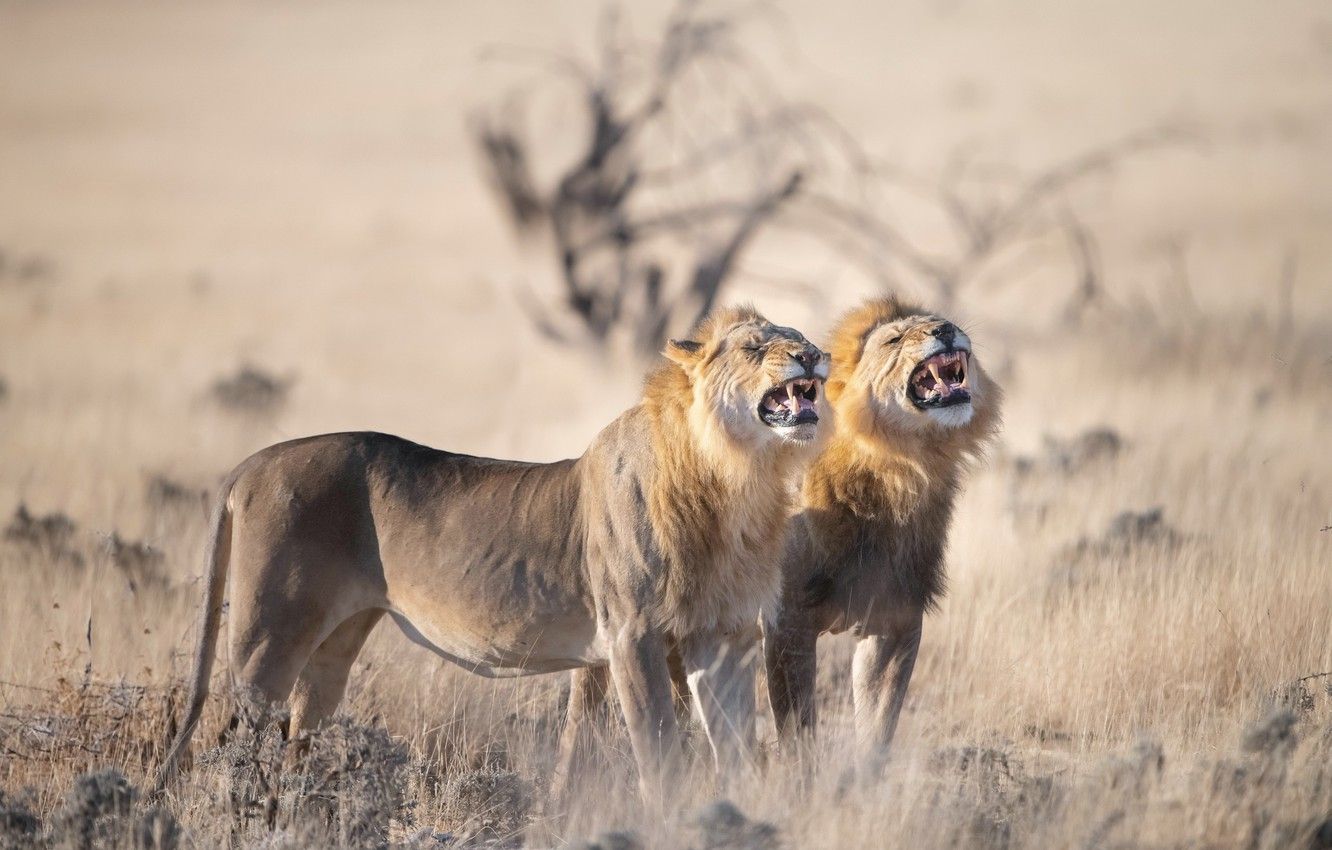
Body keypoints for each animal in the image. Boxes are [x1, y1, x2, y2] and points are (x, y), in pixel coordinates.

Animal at [155, 305, 830, 799]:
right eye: (754, 348)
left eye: (799, 337)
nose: (812, 355)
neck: (738, 478)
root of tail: (254, 461)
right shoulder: (631, 634)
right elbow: (658, 755)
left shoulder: (723, 636)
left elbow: (734, 753)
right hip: (267, 640)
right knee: (235, 744)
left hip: (335, 645)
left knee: (297, 737)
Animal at [763, 297, 1002, 772]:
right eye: (894, 340)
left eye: (942, 320)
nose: (946, 330)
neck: (901, 467)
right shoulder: (788, 620)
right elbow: (798, 726)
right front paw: (802, 782)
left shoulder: (896, 614)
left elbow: (879, 720)